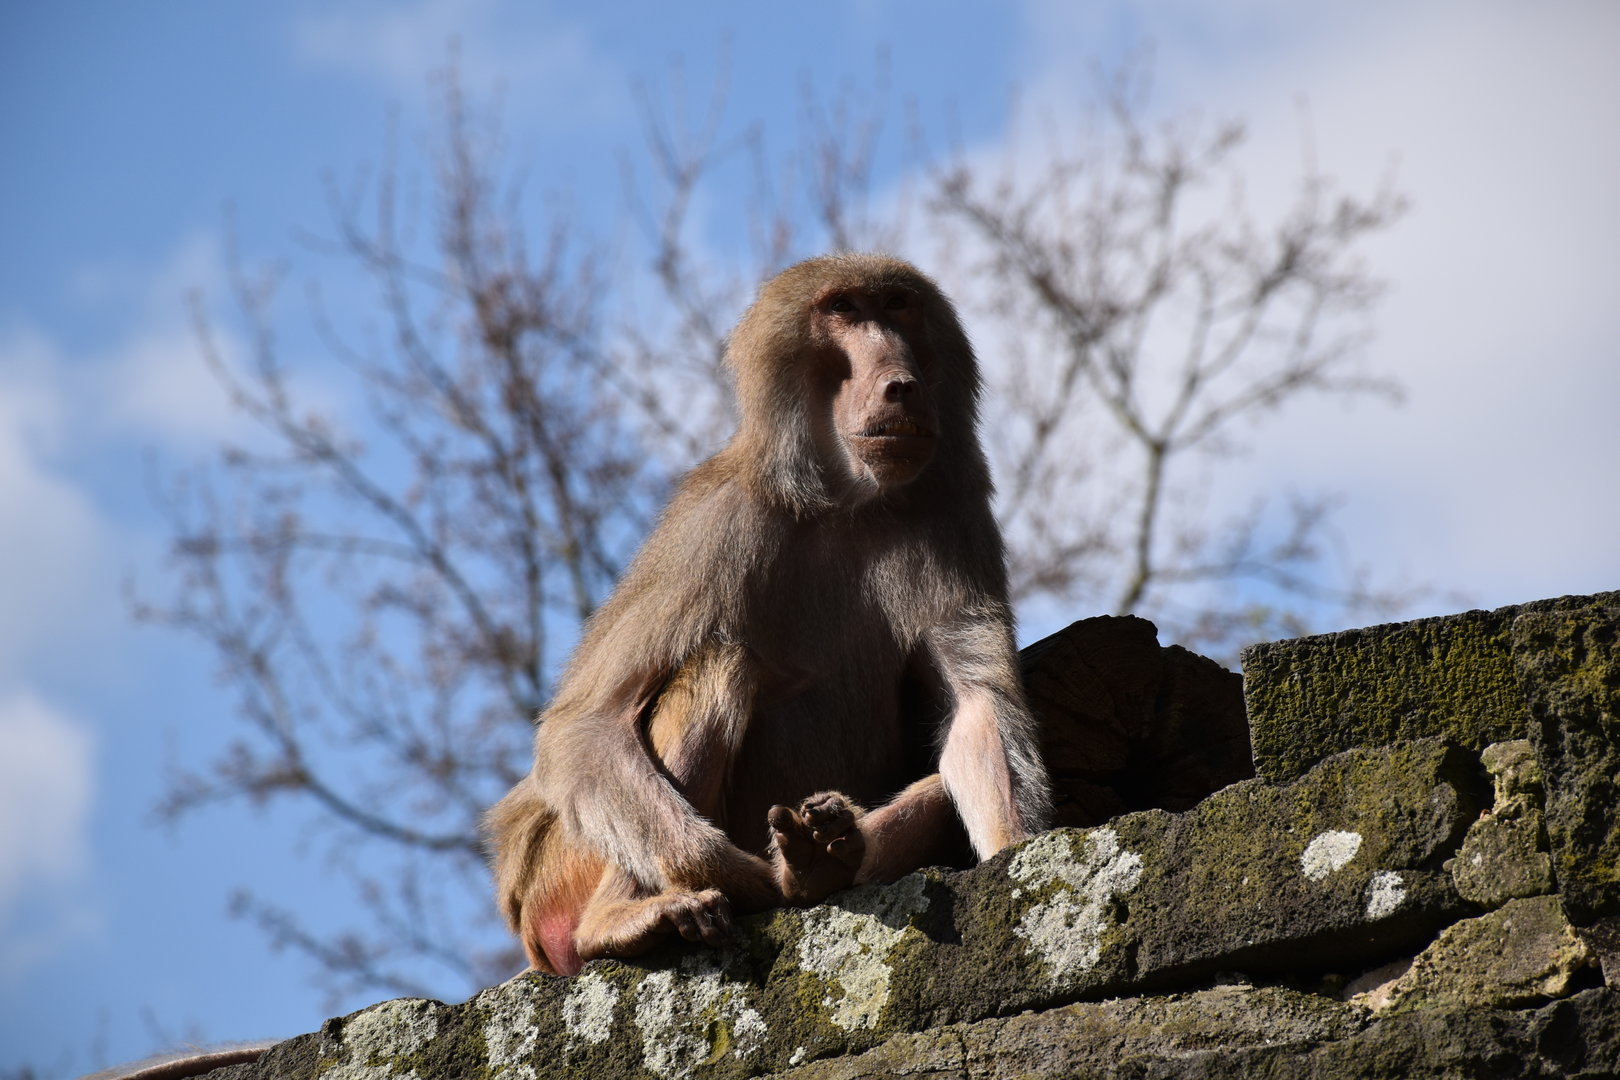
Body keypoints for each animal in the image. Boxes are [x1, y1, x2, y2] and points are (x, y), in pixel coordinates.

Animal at [485, 253, 1051, 975]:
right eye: (842, 311)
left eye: (898, 307)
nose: (901, 384)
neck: (848, 500)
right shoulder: (719, 523)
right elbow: (586, 724)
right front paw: (744, 876)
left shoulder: (952, 515)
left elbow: (976, 706)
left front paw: (1013, 853)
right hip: (562, 868)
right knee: (718, 664)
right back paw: (619, 921)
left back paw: (826, 859)